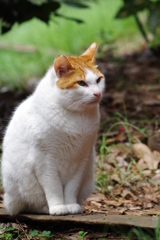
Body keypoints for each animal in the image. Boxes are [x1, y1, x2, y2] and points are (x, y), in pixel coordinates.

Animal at [1, 42, 105, 216]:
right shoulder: (45, 160)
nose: (97, 93)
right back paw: (45, 208)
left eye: (98, 80)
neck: (75, 115)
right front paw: (58, 207)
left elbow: (71, 187)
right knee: (30, 204)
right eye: (81, 83)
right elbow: (53, 187)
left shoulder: (81, 159)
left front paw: (70, 205)